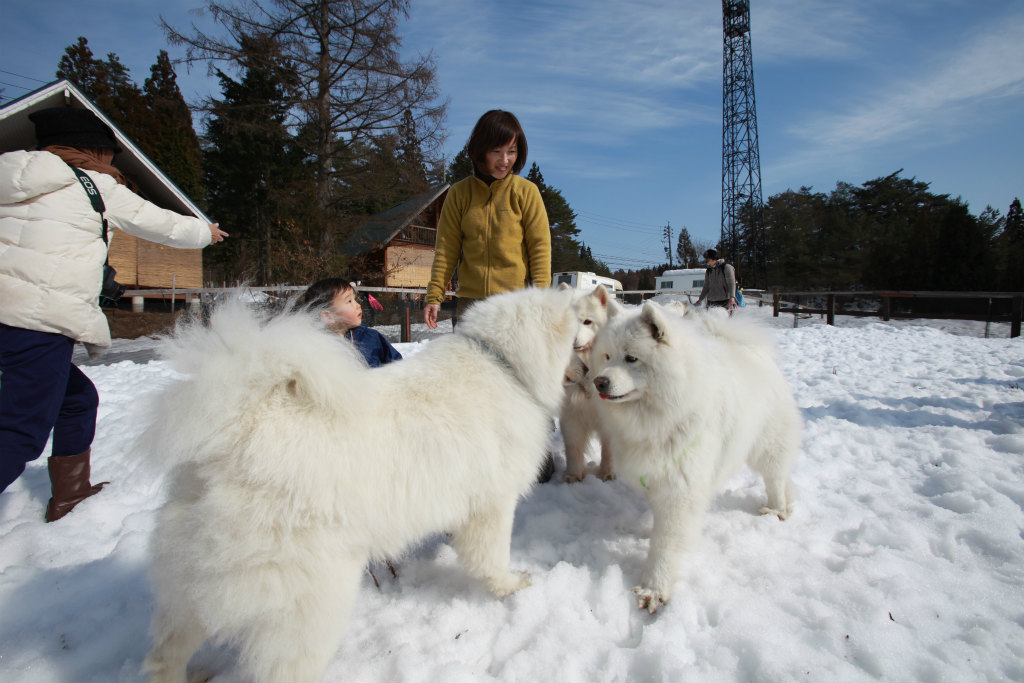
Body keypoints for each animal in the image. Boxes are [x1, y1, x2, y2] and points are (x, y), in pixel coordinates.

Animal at [140, 286, 581, 679]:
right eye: (580, 337)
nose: (592, 374)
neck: (504, 365)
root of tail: (237, 427)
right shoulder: (493, 505)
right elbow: (491, 559)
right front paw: (511, 586)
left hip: (192, 587)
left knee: (165, 654)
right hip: (313, 600)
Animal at [561, 286, 614, 483]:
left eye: (587, 322)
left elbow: (609, 449)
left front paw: (606, 474)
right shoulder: (571, 416)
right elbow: (573, 448)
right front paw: (573, 475)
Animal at [589, 303, 802, 614]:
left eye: (631, 358)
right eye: (606, 356)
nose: (599, 382)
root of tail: (754, 352)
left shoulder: (681, 488)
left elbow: (665, 543)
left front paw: (654, 589)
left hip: (767, 444)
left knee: (774, 477)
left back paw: (776, 510)